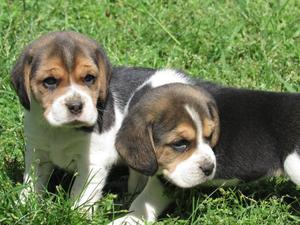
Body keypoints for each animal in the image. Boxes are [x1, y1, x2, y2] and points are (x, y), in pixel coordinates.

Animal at [10, 31, 112, 211]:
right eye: (50, 81)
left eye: (89, 78)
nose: (76, 106)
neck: (59, 129)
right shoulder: (37, 153)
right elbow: (32, 183)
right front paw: (25, 205)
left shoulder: (92, 162)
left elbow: (82, 194)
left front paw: (78, 213)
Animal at [110, 69, 300, 224]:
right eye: (179, 144)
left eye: (210, 135)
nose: (209, 169)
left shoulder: (164, 179)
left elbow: (143, 200)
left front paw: (128, 219)